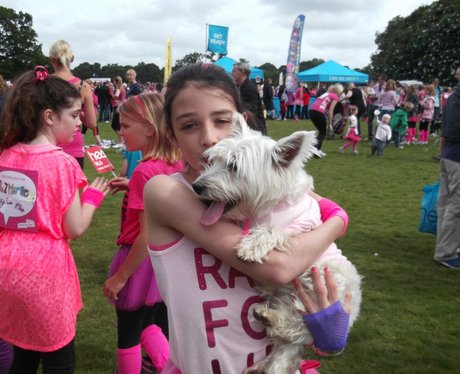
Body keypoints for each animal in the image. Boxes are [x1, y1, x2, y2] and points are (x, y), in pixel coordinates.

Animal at [192, 113, 362, 374]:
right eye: (215, 161)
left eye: (233, 166)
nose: (197, 186)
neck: (269, 205)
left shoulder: (303, 227)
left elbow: (274, 230)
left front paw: (250, 247)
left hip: (327, 279)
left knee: (300, 325)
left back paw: (271, 318)